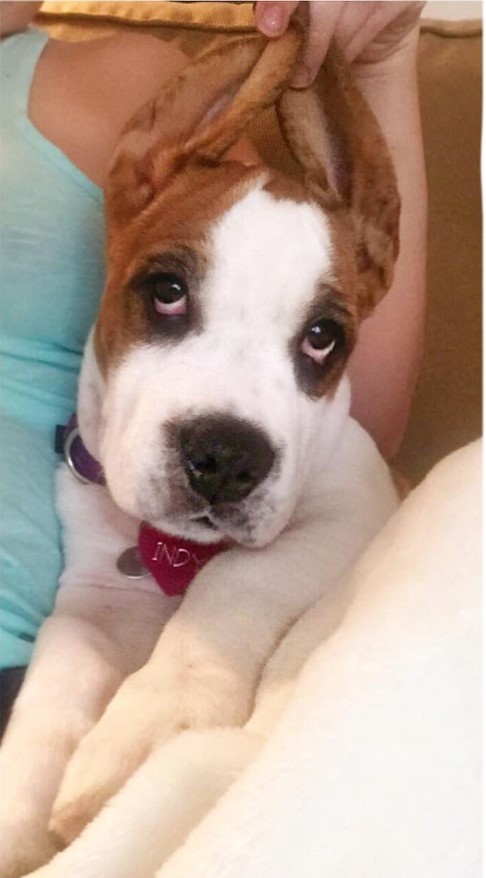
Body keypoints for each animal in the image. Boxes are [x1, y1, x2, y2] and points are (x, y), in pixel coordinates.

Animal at [0, 27, 400, 878]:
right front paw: (20, 798)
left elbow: (237, 583)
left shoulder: (353, 511)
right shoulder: (98, 589)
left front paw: (152, 722)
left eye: (324, 338)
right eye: (167, 291)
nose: (225, 457)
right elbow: (62, 665)